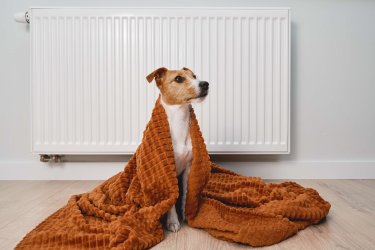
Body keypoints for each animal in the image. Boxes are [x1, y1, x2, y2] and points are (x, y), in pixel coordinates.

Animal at [146, 67, 210, 232]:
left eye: (194, 76)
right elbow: (171, 201)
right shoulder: (168, 172)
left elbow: (186, 195)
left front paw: (185, 214)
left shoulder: (188, 167)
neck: (179, 121)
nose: (205, 84)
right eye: (178, 79)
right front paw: (173, 221)